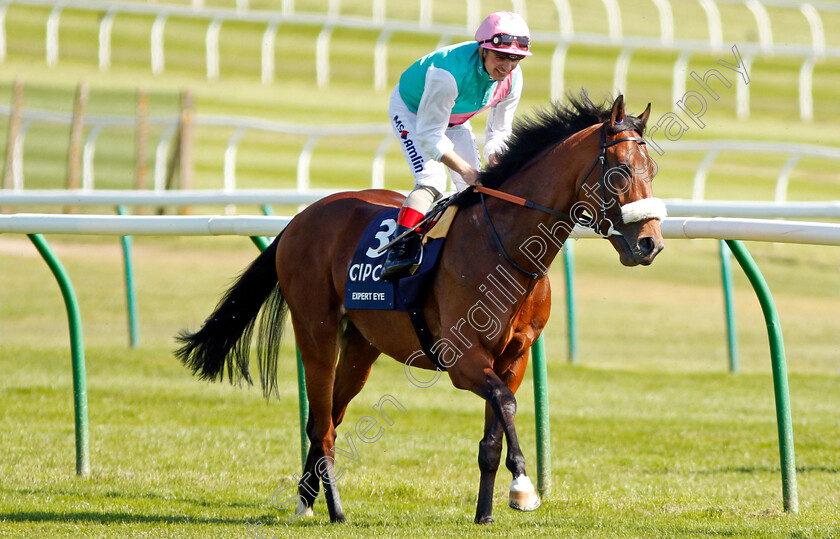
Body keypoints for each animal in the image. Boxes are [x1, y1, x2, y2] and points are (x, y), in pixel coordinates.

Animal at [176, 94, 664, 528]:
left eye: (653, 170)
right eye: (620, 172)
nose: (650, 244)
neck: (505, 247)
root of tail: (300, 219)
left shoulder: (515, 358)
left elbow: (493, 433)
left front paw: (485, 513)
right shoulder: (463, 358)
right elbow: (505, 404)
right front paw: (523, 488)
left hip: (362, 345)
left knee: (328, 415)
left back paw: (307, 500)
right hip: (316, 330)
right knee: (323, 427)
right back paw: (335, 510)